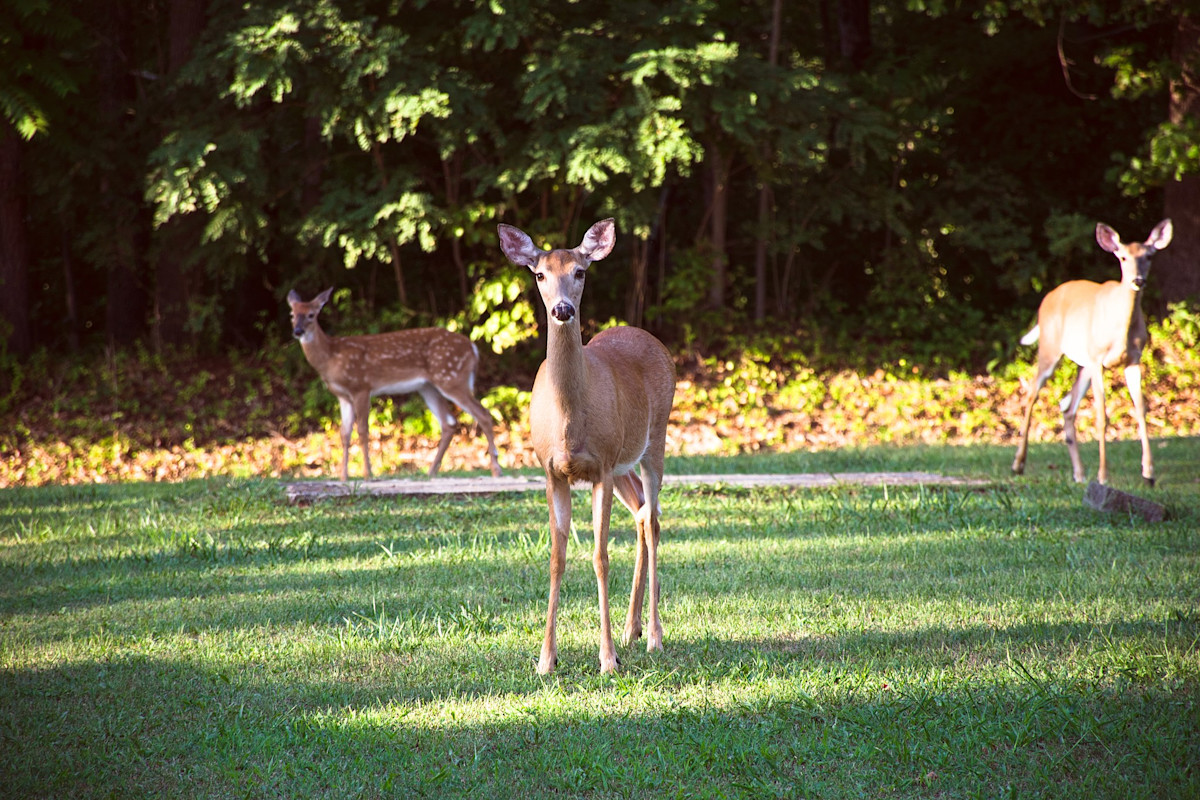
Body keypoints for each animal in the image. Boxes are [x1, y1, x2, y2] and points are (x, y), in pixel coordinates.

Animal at [287, 288, 503, 481]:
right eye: (292, 314)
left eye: (311, 314)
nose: (298, 331)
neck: (331, 357)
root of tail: (473, 348)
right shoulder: (342, 396)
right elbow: (344, 434)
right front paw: (343, 478)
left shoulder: (362, 387)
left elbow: (363, 430)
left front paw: (367, 475)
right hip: (429, 387)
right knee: (449, 423)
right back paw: (431, 472)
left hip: (452, 378)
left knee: (483, 414)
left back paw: (496, 469)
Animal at [498, 218, 676, 675]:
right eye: (539, 275)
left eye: (580, 272)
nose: (563, 309)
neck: (569, 423)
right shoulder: (552, 471)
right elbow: (556, 557)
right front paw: (546, 658)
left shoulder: (600, 470)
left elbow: (599, 556)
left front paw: (608, 658)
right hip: (623, 463)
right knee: (642, 513)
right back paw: (633, 628)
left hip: (654, 440)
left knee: (654, 520)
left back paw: (653, 635)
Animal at [1012, 219, 1172, 487]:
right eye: (1123, 257)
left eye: (1149, 256)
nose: (1138, 280)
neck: (1121, 329)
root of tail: (1048, 296)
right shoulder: (1098, 360)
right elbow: (1101, 417)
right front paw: (1103, 476)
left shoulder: (1133, 359)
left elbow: (1141, 409)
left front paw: (1149, 474)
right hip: (1051, 348)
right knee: (1032, 393)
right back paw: (1018, 464)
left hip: (1083, 364)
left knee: (1067, 405)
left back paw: (1078, 473)